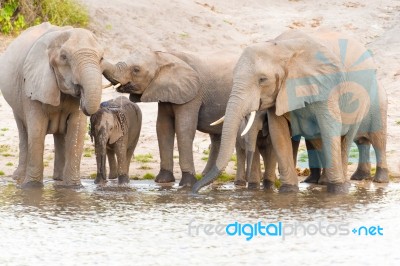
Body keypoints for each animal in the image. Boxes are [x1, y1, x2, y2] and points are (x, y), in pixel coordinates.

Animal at [0, 23, 104, 189]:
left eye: (101, 59)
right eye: (64, 57)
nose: (80, 92)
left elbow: (77, 129)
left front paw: (74, 187)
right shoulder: (32, 86)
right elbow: (37, 130)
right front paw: (32, 187)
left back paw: (58, 179)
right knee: (23, 131)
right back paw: (19, 178)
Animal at [102, 49, 241, 187]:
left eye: (136, 70)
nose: (101, 57)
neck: (165, 56)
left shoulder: (193, 94)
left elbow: (183, 129)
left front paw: (186, 184)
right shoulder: (165, 92)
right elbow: (163, 128)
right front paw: (163, 181)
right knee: (216, 137)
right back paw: (206, 175)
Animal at [194, 29, 388, 193]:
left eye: (262, 79)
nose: (194, 192)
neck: (281, 48)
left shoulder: (325, 85)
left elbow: (329, 127)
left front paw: (338, 192)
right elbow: (278, 133)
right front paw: (288, 191)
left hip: (365, 99)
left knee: (350, 138)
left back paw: (356, 183)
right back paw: (326, 182)